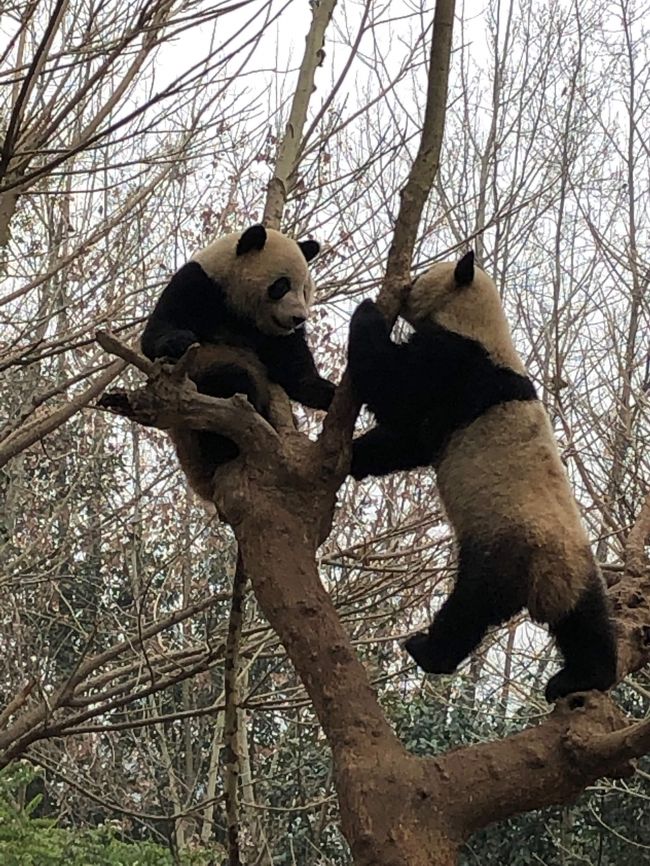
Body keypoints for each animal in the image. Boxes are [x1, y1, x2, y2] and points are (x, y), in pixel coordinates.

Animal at [142, 223, 334, 500]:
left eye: (305, 289)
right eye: (282, 285)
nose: (299, 318)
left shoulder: (278, 336)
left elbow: (295, 373)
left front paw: (327, 391)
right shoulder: (197, 284)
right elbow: (155, 333)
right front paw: (179, 340)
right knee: (228, 381)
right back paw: (226, 447)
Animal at [346, 251, 616, 704]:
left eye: (423, 275)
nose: (406, 285)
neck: (480, 323)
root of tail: (546, 579)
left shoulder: (458, 368)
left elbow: (398, 393)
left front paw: (367, 312)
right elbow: (409, 442)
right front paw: (355, 458)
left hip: (501, 545)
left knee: (468, 609)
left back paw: (426, 650)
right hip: (581, 569)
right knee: (587, 623)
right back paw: (584, 678)